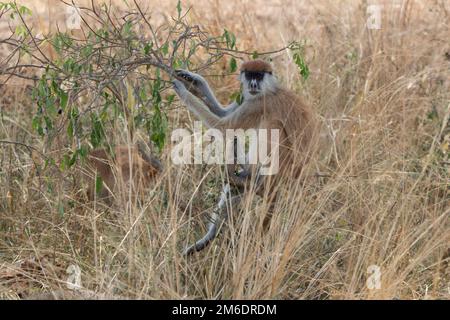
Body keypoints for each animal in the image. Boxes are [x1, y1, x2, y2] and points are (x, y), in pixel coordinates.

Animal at [172, 59, 316, 255]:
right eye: (249, 75)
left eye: (259, 75)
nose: (253, 84)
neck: (269, 89)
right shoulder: (247, 97)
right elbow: (222, 113)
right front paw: (193, 78)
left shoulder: (258, 103)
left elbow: (224, 126)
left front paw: (181, 90)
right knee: (232, 191)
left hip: (284, 163)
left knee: (272, 125)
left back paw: (253, 179)